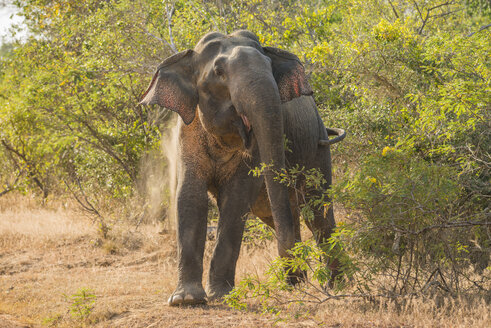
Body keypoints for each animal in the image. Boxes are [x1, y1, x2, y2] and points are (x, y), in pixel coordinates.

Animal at [140, 29, 344, 306]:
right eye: (218, 72)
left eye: (269, 66)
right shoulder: (187, 134)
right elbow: (190, 196)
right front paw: (186, 300)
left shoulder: (254, 150)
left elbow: (236, 198)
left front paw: (220, 295)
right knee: (286, 217)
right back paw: (297, 284)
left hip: (318, 151)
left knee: (318, 215)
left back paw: (334, 286)